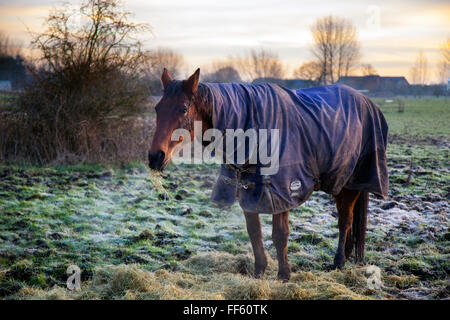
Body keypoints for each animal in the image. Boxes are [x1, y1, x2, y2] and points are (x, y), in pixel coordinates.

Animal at [148, 67, 386, 280]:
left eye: (183, 109)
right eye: (157, 108)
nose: (155, 157)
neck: (252, 130)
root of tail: (367, 102)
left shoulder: (282, 192)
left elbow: (280, 234)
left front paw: (284, 275)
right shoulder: (247, 190)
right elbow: (254, 232)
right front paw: (259, 271)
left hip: (352, 183)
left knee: (345, 220)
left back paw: (338, 262)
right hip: (339, 182)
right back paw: (345, 257)